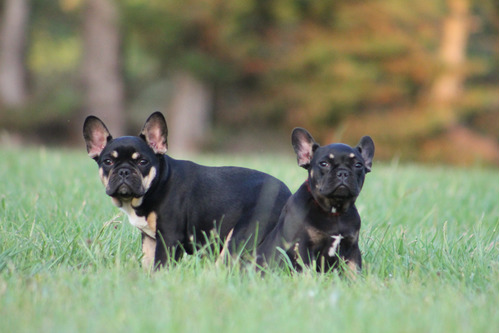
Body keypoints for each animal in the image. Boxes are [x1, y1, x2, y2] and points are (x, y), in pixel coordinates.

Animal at [83, 113, 292, 268]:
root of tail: (287, 194)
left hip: (240, 237)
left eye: (142, 162)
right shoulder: (150, 240)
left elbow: (160, 265)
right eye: (108, 162)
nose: (124, 171)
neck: (158, 183)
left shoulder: (168, 237)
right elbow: (148, 264)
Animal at [256, 128, 374, 274]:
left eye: (358, 165)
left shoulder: (352, 249)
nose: (343, 172)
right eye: (324, 164)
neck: (333, 210)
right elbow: (308, 270)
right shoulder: (303, 247)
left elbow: (353, 271)